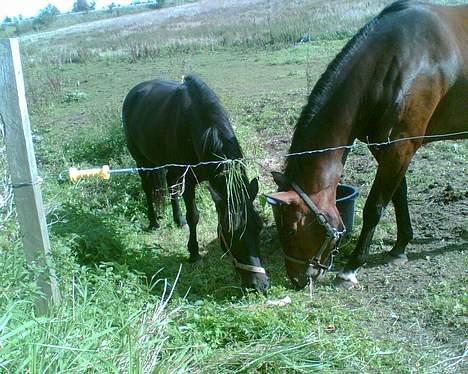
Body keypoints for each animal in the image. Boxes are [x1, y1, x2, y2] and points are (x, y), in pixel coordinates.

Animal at [120, 74, 268, 292]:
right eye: (230, 232)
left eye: (259, 226)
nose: (259, 285)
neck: (197, 129)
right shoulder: (189, 181)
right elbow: (194, 216)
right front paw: (194, 253)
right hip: (142, 161)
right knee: (148, 189)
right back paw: (154, 222)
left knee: (170, 185)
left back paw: (177, 219)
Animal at [266, 0, 466, 290]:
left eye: (291, 229)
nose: (297, 279)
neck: (401, 59)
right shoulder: (384, 145)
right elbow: (398, 194)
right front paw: (400, 247)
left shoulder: (402, 145)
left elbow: (375, 205)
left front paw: (351, 267)